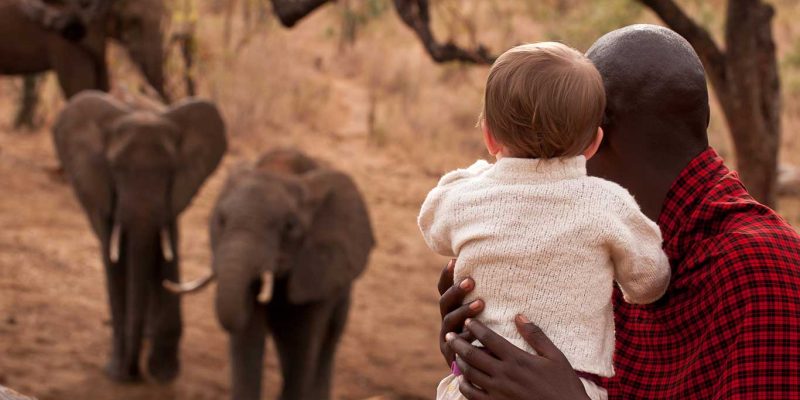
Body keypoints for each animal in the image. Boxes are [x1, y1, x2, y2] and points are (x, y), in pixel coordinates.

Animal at [52, 90, 228, 382]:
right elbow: (114, 262)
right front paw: (117, 372)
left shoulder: (173, 197)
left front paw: (163, 374)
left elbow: (166, 255)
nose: (130, 372)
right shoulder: (101, 190)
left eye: (170, 170)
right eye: (116, 168)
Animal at [169, 148, 376, 398]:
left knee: (327, 341)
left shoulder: (316, 270)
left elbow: (303, 342)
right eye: (221, 220)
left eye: (290, 226)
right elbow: (248, 336)